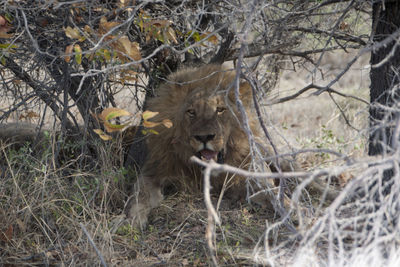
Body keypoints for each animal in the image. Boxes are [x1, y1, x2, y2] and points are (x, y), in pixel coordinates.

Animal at [125, 65, 290, 228]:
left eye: (220, 110)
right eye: (191, 112)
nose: (204, 137)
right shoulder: (154, 173)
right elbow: (140, 194)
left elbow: (273, 192)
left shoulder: (250, 178)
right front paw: (133, 220)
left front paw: (291, 209)